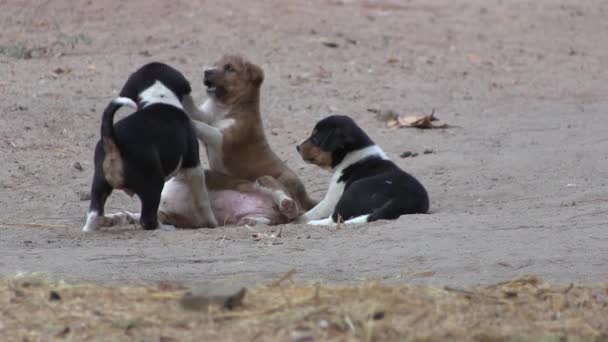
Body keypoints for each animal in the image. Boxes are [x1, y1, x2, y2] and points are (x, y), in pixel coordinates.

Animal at [82, 62, 217, 232]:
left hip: (99, 184)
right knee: (147, 220)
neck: (158, 98)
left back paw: (104, 222)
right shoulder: (193, 165)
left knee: (93, 216)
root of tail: (112, 140)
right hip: (154, 184)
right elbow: (202, 200)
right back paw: (165, 228)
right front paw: (211, 222)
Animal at [296, 116, 430, 226]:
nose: (297, 147)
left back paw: (314, 223)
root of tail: (404, 199)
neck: (352, 154)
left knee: (335, 219)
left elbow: (314, 212)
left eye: (316, 137)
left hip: (354, 188)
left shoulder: (332, 197)